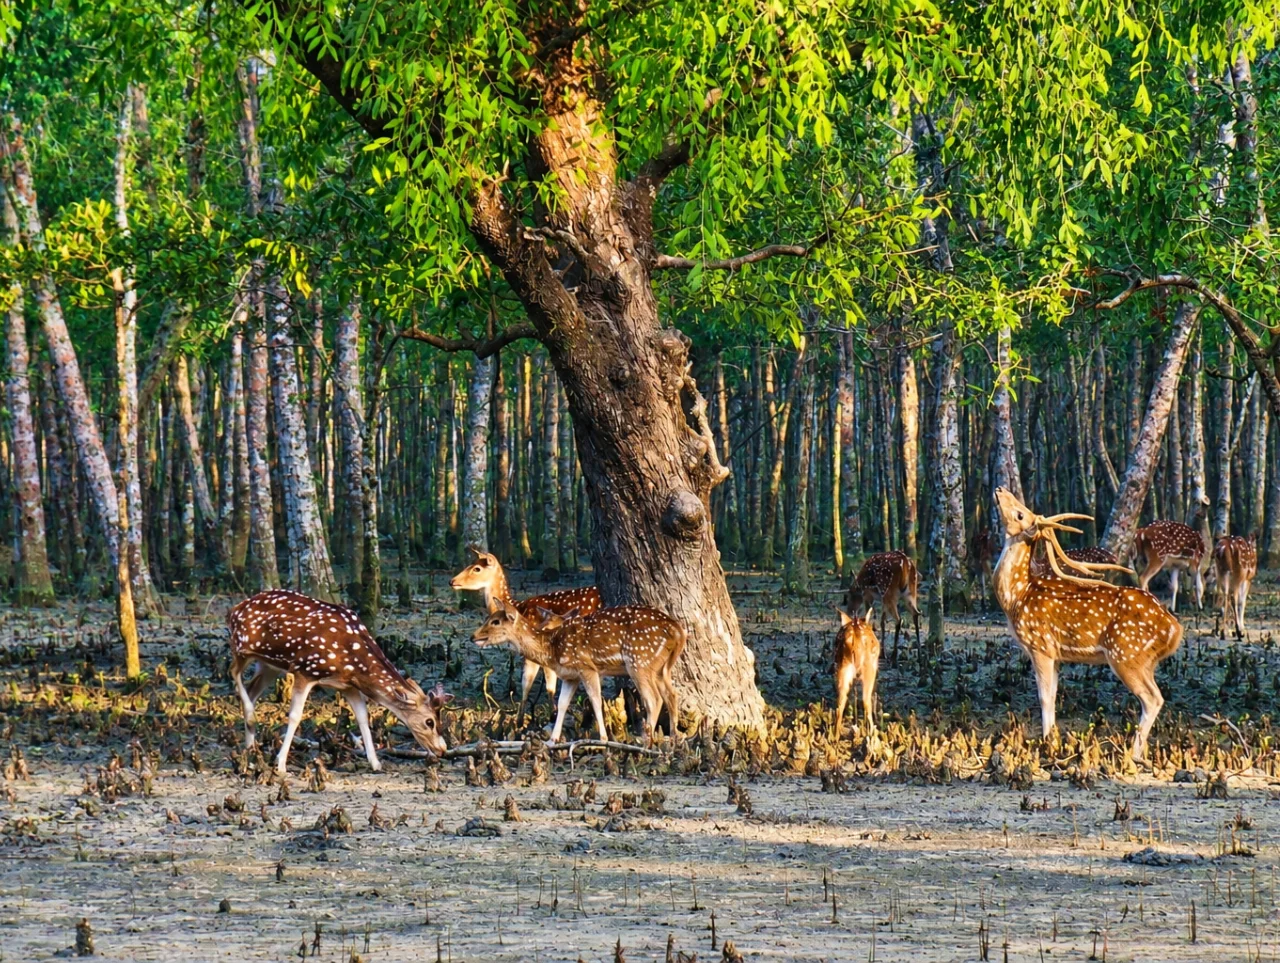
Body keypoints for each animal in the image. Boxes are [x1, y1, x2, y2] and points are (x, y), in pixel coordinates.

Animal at [227, 590, 452, 775]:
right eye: (429, 721)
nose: (442, 749)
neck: (354, 663)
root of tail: (234, 609)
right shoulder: (305, 670)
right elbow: (295, 716)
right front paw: (280, 764)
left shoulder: (348, 685)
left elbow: (363, 717)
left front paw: (376, 763)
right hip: (241, 646)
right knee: (233, 673)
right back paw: (251, 720)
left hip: (269, 665)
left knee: (252, 689)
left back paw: (250, 750)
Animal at [450, 548, 602, 723]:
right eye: (471, 563)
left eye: (477, 568)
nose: (452, 581)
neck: (519, 608)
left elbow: (534, 684)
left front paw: (528, 719)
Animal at [472, 601, 685, 745]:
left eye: (495, 621)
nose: (473, 636)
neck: (552, 649)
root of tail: (678, 631)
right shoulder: (570, 676)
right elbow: (562, 703)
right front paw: (552, 740)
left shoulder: (586, 667)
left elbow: (595, 700)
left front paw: (603, 738)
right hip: (660, 667)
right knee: (672, 694)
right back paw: (674, 737)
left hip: (639, 660)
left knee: (654, 699)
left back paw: (646, 740)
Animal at [832, 607, 879, 739]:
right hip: (869, 666)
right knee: (866, 699)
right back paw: (873, 732)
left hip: (843, 666)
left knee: (840, 701)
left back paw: (835, 737)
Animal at [991, 488, 1183, 762]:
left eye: (1020, 514)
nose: (1000, 489)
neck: (1017, 598)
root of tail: (1175, 629)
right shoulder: (1057, 655)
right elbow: (1053, 696)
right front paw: (1053, 742)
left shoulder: (1040, 646)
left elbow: (1043, 698)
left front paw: (1047, 747)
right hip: (1145, 661)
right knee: (1156, 696)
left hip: (1125, 654)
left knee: (1152, 698)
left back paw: (1132, 754)